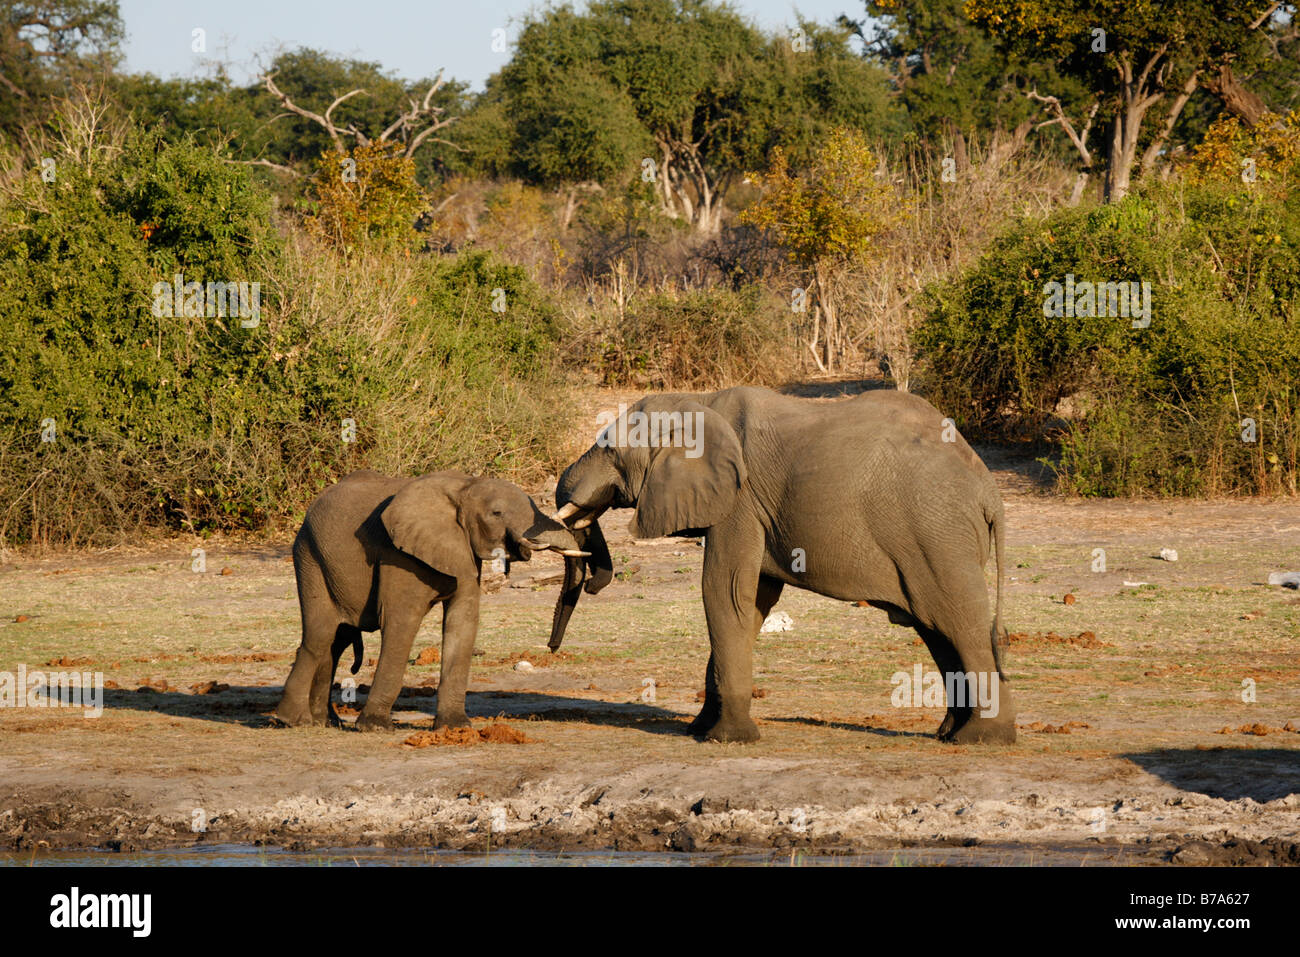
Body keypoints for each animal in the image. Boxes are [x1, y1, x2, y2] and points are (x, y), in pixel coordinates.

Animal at [276, 470, 587, 733]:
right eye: (496, 513)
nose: (552, 647)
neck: (464, 487)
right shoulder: (398, 554)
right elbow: (401, 621)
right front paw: (376, 727)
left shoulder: (462, 549)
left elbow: (462, 622)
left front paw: (456, 728)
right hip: (309, 554)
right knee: (320, 634)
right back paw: (294, 721)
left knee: (336, 640)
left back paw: (326, 722)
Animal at [548, 384, 1013, 743]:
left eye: (610, 449)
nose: (551, 648)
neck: (700, 401)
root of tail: (988, 489)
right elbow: (753, 601)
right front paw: (699, 730)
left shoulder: (740, 501)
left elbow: (724, 590)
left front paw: (728, 739)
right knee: (937, 628)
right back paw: (950, 733)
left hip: (937, 534)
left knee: (960, 624)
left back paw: (983, 738)